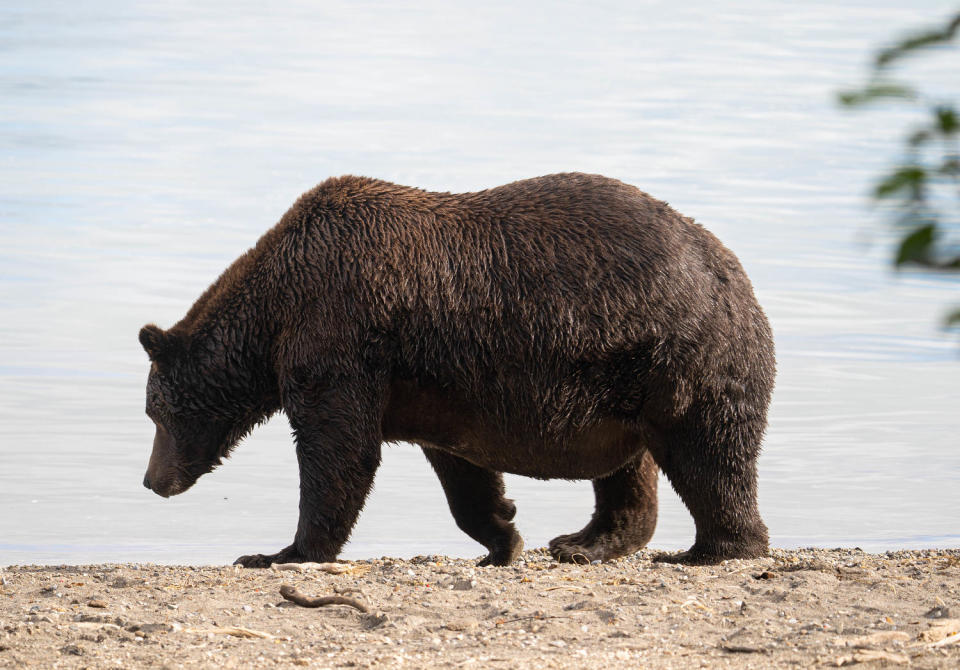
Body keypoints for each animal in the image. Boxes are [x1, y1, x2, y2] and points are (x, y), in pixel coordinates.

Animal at [139, 173, 776, 568]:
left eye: (154, 413)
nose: (150, 481)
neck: (273, 313)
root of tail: (730, 266)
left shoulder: (338, 334)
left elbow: (337, 450)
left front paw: (279, 551)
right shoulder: (436, 387)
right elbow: (461, 471)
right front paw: (504, 534)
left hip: (681, 352)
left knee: (709, 453)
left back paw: (715, 548)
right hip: (624, 381)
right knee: (630, 468)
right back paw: (583, 541)